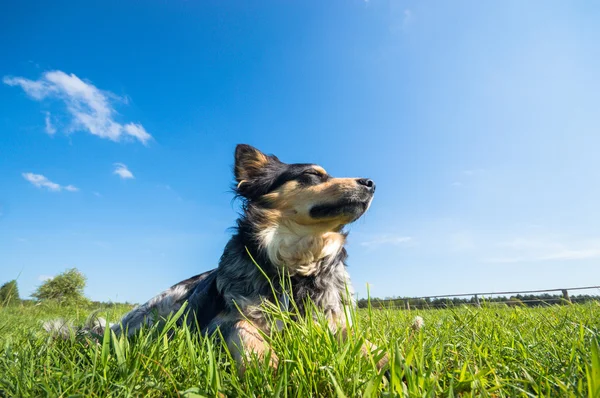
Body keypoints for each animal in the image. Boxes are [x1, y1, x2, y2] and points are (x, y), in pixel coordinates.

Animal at [45, 145, 390, 374]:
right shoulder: (221, 322)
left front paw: (390, 361)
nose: (371, 183)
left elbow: (363, 341)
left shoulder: (332, 322)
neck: (296, 267)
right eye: (311, 175)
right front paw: (266, 363)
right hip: (167, 306)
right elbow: (242, 328)